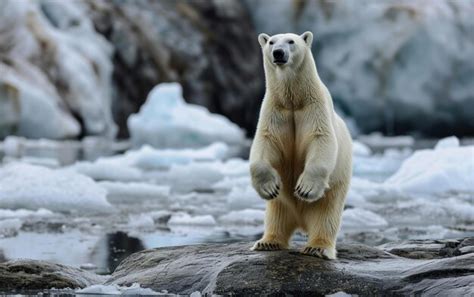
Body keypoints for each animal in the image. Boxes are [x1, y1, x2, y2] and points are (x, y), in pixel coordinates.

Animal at [250, 31, 350, 260]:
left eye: (291, 41)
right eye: (271, 42)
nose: (278, 53)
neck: (294, 100)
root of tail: (300, 220)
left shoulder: (316, 110)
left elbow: (321, 140)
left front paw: (305, 188)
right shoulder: (274, 112)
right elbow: (264, 143)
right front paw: (269, 186)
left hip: (335, 188)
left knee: (326, 216)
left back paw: (317, 247)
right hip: (282, 204)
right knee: (276, 213)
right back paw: (267, 241)